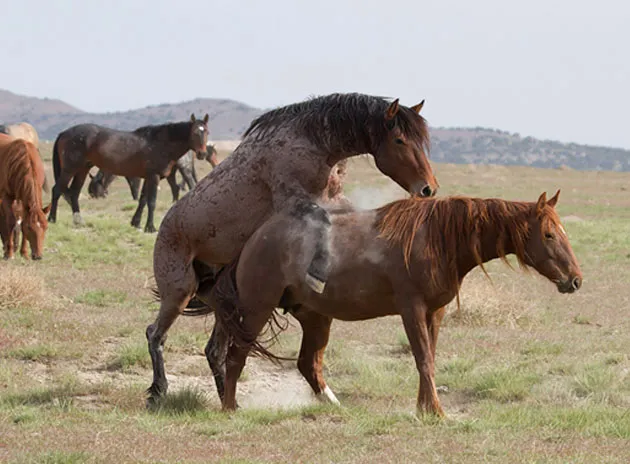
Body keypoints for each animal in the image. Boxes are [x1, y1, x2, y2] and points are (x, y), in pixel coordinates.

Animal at [48, 114, 210, 234]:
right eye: (195, 132)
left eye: (207, 132)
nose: (202, 154)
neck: (161, 143)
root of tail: (64, 133)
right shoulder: (154, 177)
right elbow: (151, 202)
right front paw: (150, 227)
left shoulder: (147, 178)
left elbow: (142, 200)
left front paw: (136, 223)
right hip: (69, 169)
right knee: (57, 190)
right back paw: (51, 219)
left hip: (82, 169)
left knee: (74, 193)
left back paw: (78, 221)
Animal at [146, 92, 440, 404]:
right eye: (399, 140)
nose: (428, 189)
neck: (313, 142)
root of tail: (164, 228)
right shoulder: (296, 201)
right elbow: (321, 221)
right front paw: (318, 273)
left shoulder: (335, 199)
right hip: (178, 292)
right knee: (155, 335)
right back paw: (158, 391)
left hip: (222, 301)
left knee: (214, 350)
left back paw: (228, 399)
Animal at [202, 190, 584, 416]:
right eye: (549, 234)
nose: (575, 279)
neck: (437, 239)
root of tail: (254, 240)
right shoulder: (411, 308)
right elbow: (423, 359)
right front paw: (437, 412)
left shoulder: (435, 312)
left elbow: (428, 359)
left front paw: (424, 409)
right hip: (256, 310)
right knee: (235, 356)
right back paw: (231, 408)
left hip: (316, 318)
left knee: (309, 364)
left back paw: (335, 406)